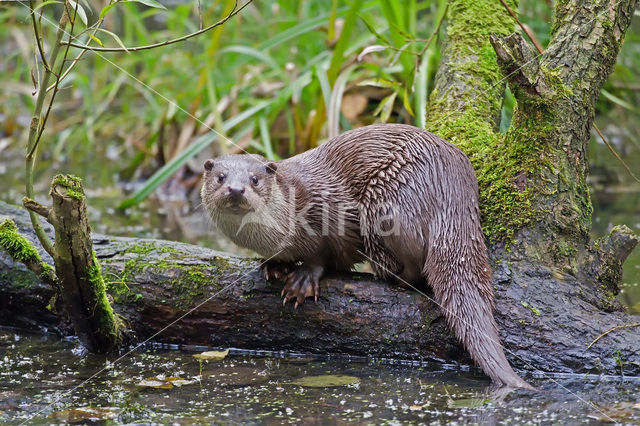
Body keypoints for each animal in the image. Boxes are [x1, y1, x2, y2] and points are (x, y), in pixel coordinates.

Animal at [202, 123, 532, 390]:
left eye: (255, 179)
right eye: (220, 177)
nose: (236, 189)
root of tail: (452, 189)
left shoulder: (327, 213)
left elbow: (325, 254)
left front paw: (303, 279)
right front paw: (273, 265)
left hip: (385, 201)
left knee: (416, 263)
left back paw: (395, 279)